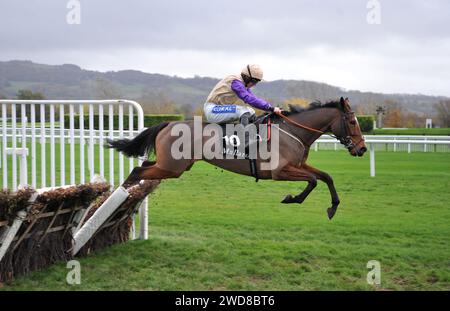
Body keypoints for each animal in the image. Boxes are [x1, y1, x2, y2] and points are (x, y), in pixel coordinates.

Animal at [108, 96, 366, 221]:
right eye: (353, 121)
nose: (362, 149)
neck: (293, 131)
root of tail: (168, 123)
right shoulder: (279, 172)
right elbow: (312, 181)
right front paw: (292, 198)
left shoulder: (298, 165)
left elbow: (326, 177)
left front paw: (333, 207)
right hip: (172, 167)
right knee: (137, 172)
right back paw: (119, 198)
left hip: (172, 166)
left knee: (144, 166)